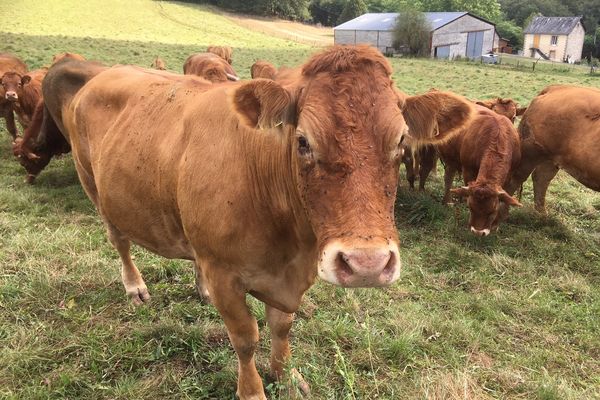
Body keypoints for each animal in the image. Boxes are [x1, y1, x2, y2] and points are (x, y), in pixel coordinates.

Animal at [440, 104, 524, 236]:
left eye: (492, 211)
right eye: (470, 208)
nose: (478, 232)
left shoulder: (509, 174)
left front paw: (495, 225)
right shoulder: (468, 170)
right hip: (450, 157)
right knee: (448, 177)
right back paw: (448, 200)